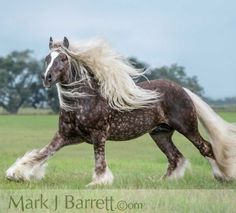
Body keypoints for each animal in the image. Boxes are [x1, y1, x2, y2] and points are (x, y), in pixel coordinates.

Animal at [5, 37, 236, 186]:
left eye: (63, 58)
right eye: (47, 58)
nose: (47, 78)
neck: (83, 101)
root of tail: (183, 89)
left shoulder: (98, 134)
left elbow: (99, 161)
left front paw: (98, 183)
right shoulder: (65, 136)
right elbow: (41, 154)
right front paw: (15, 174)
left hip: (186, 127)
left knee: (205, 148)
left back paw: (222, 176)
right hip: (160, 133)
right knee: (175, 158)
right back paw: (162, 182)